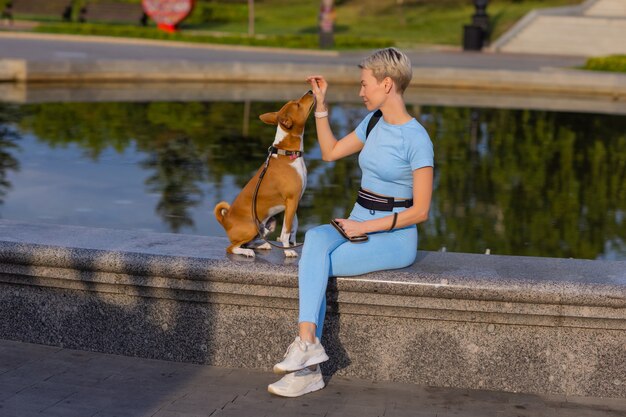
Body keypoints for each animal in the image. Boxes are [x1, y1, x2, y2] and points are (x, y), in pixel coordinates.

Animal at [213, 91, 312, 256]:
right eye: (298, 104)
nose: (310, 91)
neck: (287, 153)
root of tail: (225, 221)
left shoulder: (294, 202)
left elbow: (293, 226)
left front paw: (291, 243)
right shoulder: (292, 199)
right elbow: (285, 231)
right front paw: (288, 251)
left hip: (266, 226)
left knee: (250, 242)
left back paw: (261, 245)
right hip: (252, 227)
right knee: (232, 247)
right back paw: (247, 252)